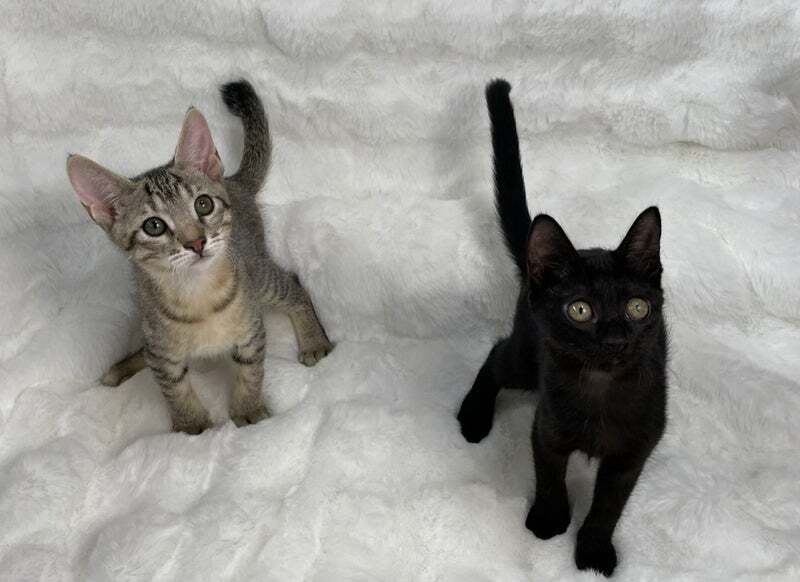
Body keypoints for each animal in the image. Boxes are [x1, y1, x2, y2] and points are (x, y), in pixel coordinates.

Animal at [67, 80, 333, 434]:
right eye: (154, 226)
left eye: (203, 205)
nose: (196, 242)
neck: (198, 296)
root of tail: (232, 180)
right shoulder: (163, 356)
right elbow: (175, 390)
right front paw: (192, 427)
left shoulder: (252, 331)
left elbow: (251, 372)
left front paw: (248, 411)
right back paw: (121, 367)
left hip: (260, 276)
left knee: (295, 284)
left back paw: (313, 341)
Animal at [457, 79, 667, 577]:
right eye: (580, 310)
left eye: (636, 307)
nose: (615, 339)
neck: (601, 390)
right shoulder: (546, 427)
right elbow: (550, 477)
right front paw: (548, 522)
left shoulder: (634, 452)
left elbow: (609, 505)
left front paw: (592, 552)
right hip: (526, 361)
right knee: (496, 356)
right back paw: (474, 416)